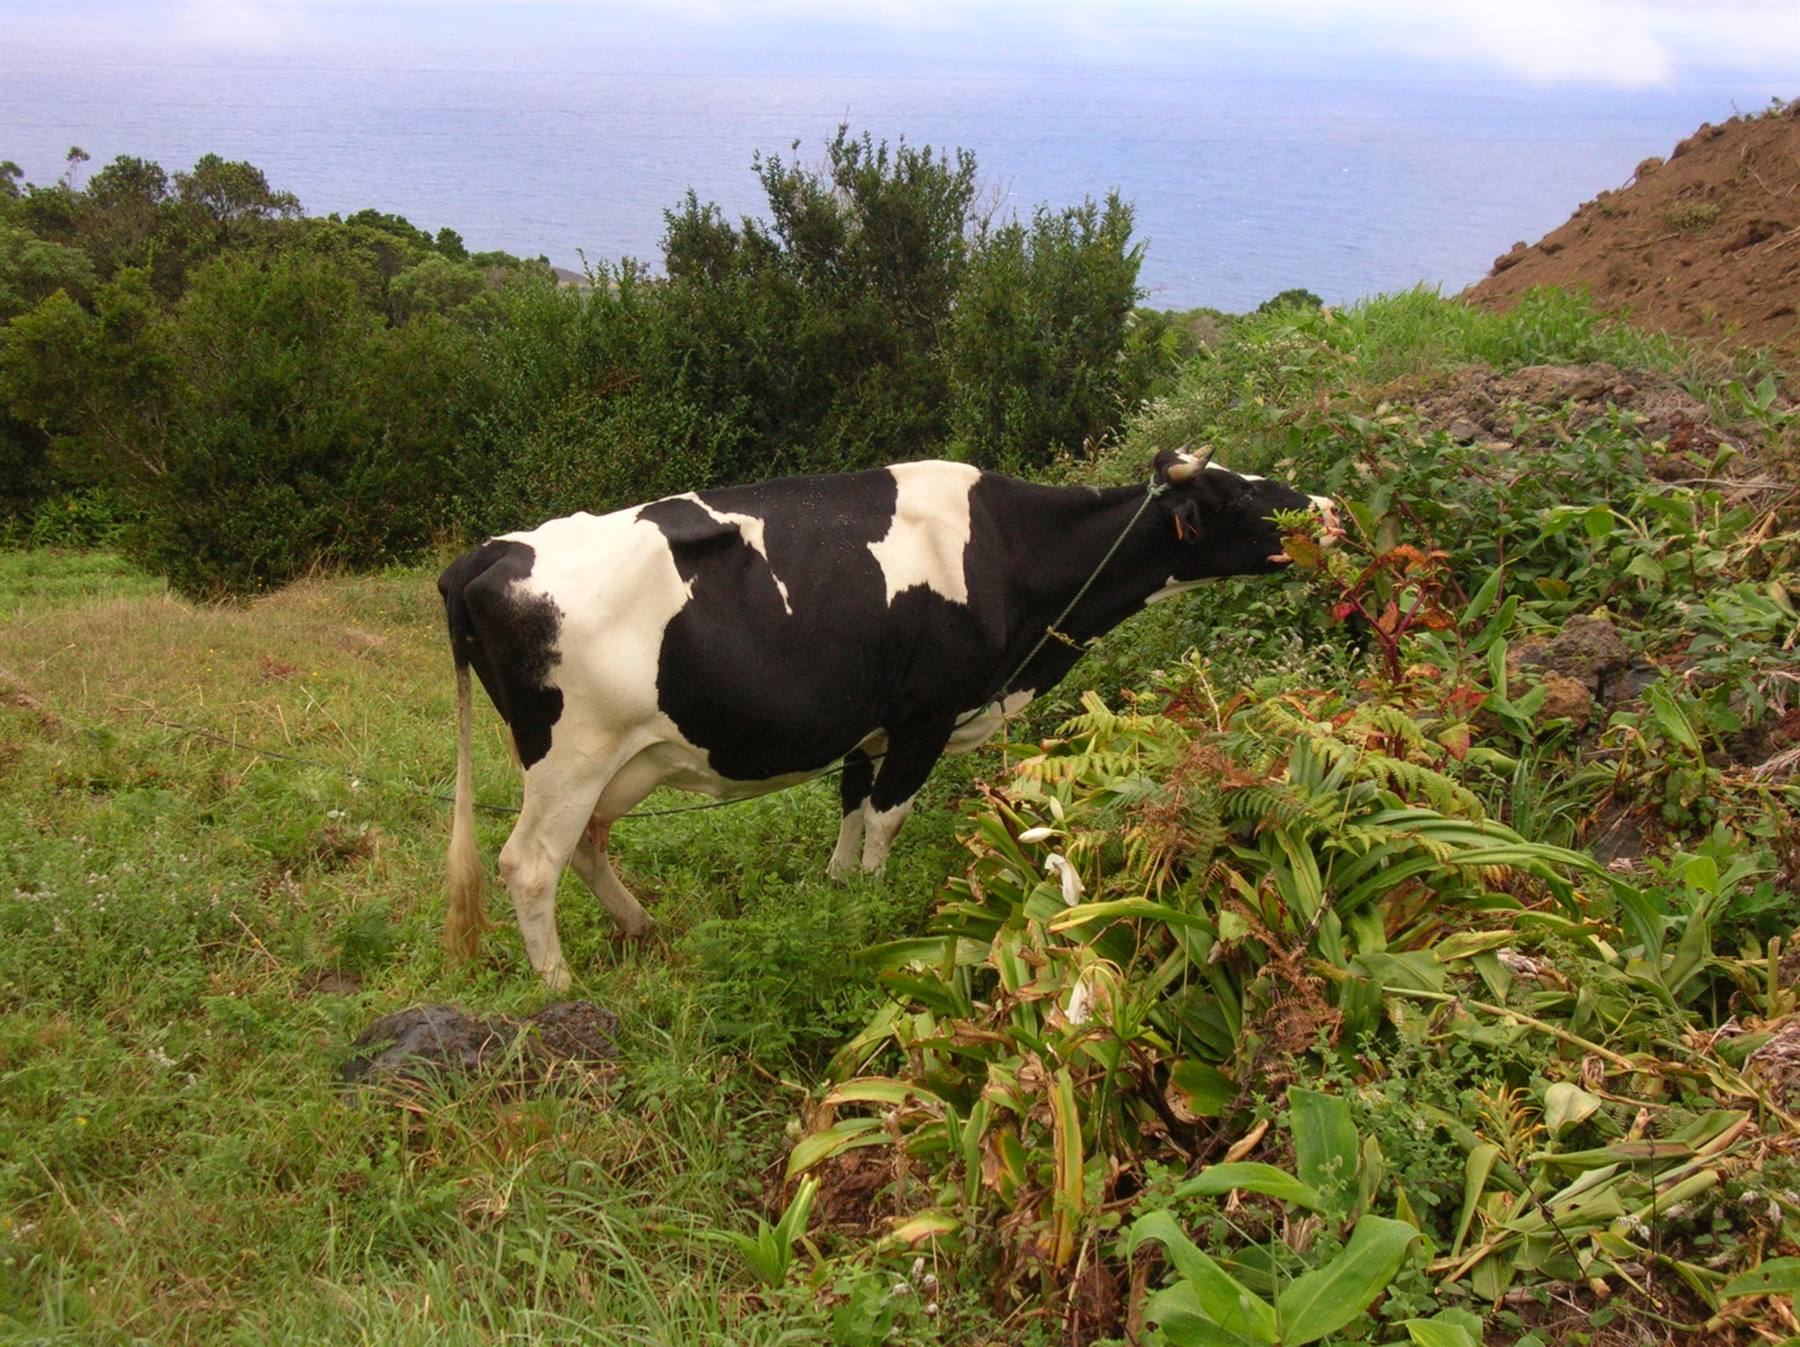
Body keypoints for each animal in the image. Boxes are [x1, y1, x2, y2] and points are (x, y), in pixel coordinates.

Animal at [438, 447, 1338, 989]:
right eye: (1244, 495)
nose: (1330, 510)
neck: (1011, 556)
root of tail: (487, 553)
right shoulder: (924, 717)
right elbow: (885, 819)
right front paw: (875, 918)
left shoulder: (865, 725)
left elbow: (847, 809)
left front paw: (838, 894)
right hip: (569, 755)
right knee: (529, 864)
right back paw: (561, 985)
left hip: (624, 759)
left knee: (588, 843)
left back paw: (641, 925)